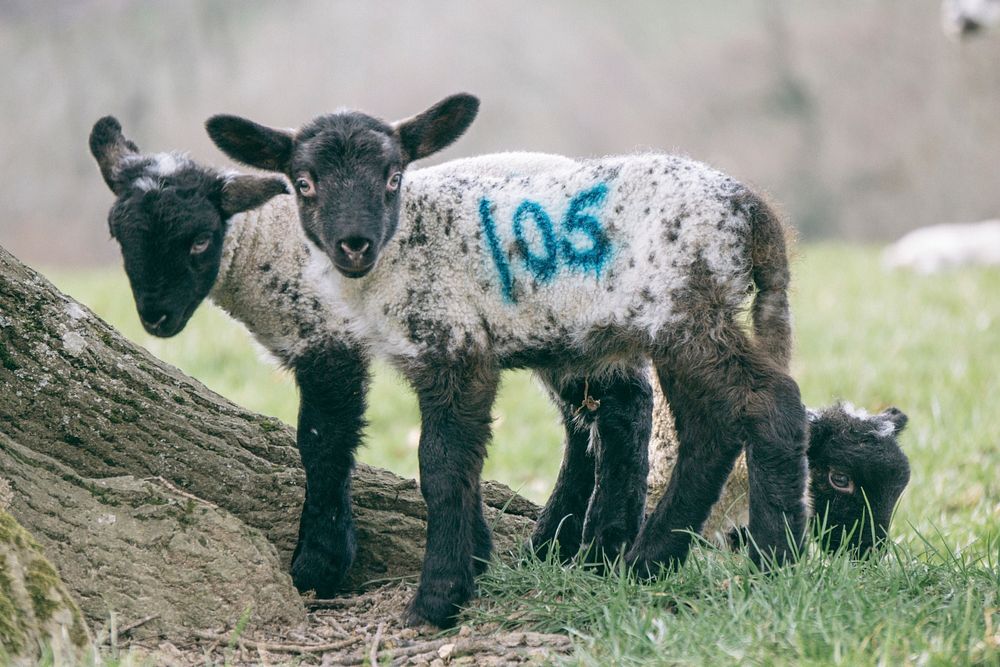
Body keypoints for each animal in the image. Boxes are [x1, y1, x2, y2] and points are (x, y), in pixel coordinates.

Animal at [207, 94, 808, 632]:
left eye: (393, 176)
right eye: (303, 182)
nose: (354, 244)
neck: (402, 250)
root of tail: (753, 211)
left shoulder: (454, 346)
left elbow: (440, 466)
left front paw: (436, 601)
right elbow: (458, 463)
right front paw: (472, 566)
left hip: (684, 310)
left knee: (766, 402)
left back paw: (774, 560)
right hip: (673, 324)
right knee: (712, 426)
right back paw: (651, 561)